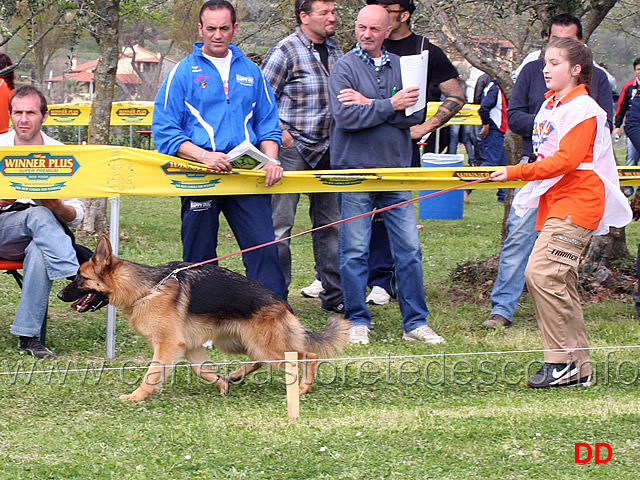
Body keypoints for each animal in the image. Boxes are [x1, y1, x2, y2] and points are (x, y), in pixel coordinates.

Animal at [59, 234, 348, 400]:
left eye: (81, 278)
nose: (60, 294)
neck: (145, 288)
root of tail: (282, 303)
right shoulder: (191, 346)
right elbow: (201, 369)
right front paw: (220, 383)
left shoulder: (168, 345)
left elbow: (152, 373)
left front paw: (137, 396)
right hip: (235, 342)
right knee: (259, 359)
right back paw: (235, 375)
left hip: (268, 346)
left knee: (308, 355)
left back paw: (303, 388)